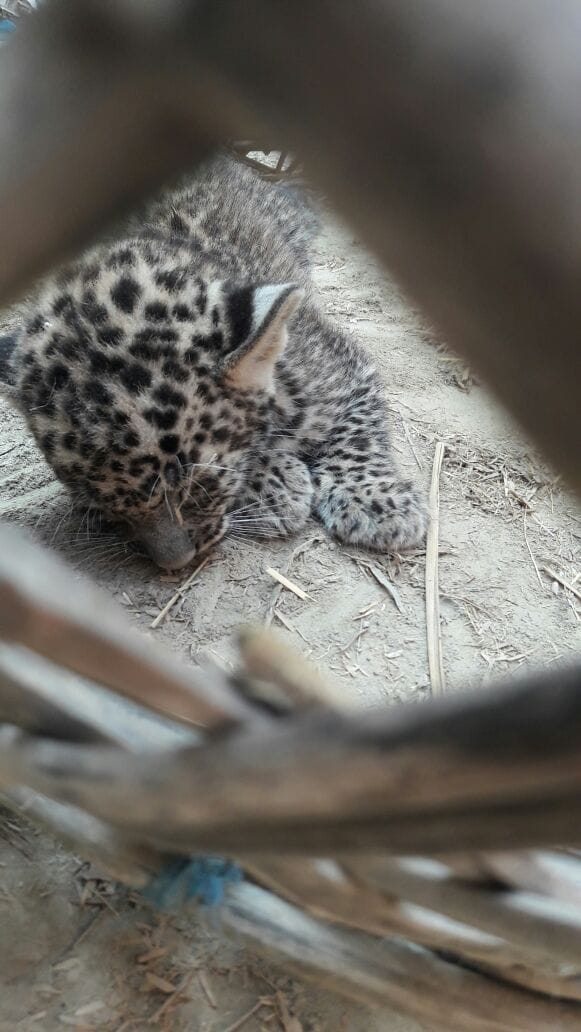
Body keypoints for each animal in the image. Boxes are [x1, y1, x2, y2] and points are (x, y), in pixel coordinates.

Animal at [0, 155, 427, 570]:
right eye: (106, 508)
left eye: (198, 487)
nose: (174, 565)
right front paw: (272, 484)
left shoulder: (345, 371)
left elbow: (356, 435)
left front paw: (377, 503)